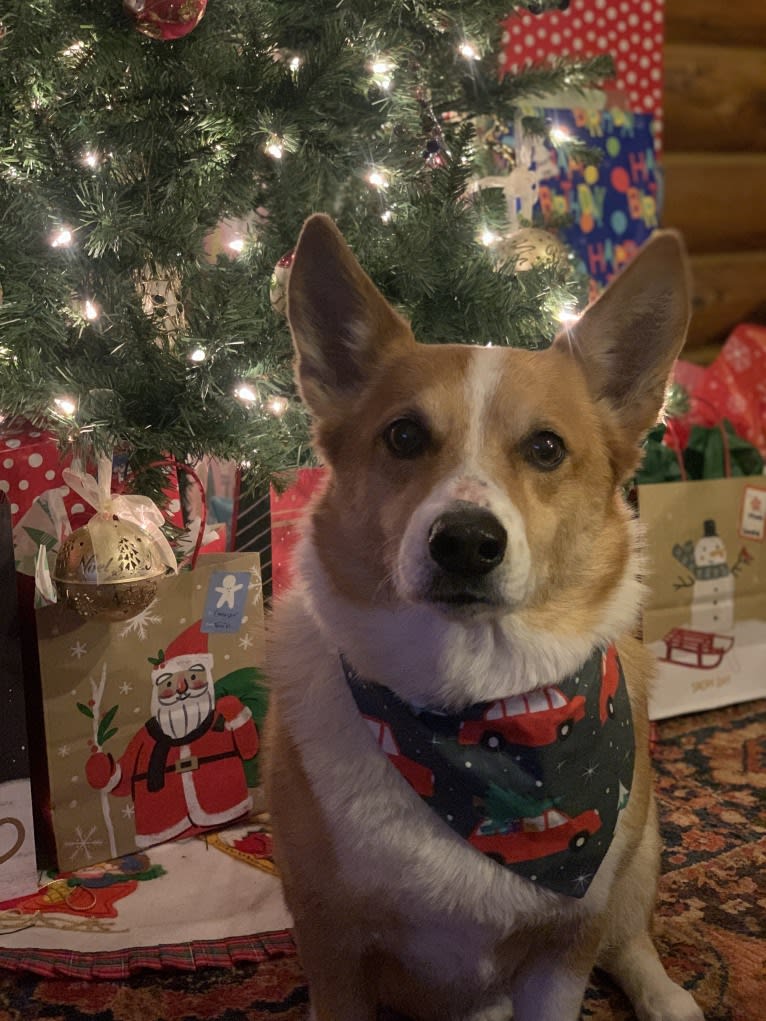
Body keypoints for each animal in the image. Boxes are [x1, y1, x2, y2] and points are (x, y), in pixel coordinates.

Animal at [265, 215, 706, 1021]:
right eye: (404, 436)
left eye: (546, 447)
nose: (466, 541)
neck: (475, 704)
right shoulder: (331, 945)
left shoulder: (566, 945)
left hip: (642, 850)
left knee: (631, 938)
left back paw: (668, 997)